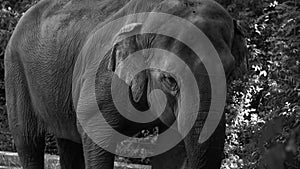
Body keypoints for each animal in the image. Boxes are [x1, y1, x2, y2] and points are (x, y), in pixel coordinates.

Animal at [4, 0, 247, 169]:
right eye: (169, 79)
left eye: (229, 72)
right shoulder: (101, 77)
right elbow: (94, 133)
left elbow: (172, 151)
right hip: (15, 72)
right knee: (28, 139)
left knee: (68, 141)